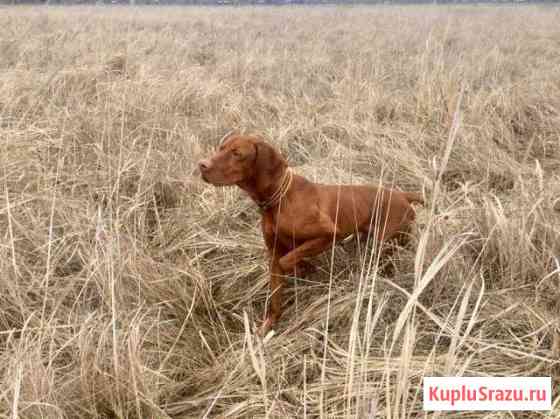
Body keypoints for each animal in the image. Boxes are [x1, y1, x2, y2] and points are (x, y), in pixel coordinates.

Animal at [199, 135, 422, 338]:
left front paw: (306, 268)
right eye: (221, 148)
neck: (280, 199)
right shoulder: (273, 253)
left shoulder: (329, 234)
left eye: (237, 153)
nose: (202, 165)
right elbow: (275, 296)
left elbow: (288, 260)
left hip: (384, 243)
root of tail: (403, 196)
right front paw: (268, 326)